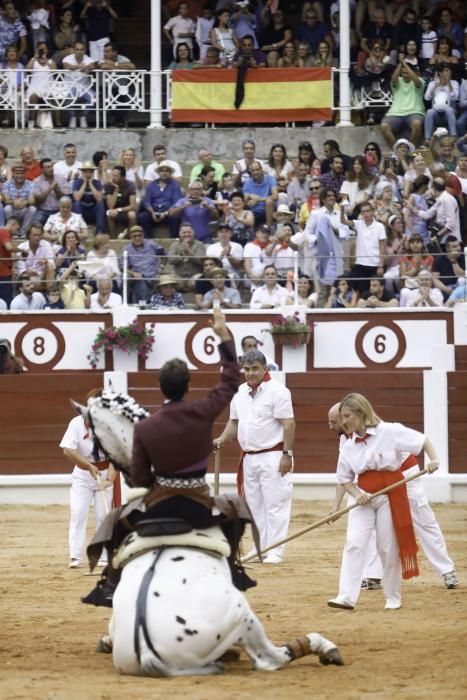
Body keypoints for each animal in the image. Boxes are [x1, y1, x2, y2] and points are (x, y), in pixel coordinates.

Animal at [73, 392, 344, 676]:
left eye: (93, 438)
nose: (120, 474)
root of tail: (147, 650)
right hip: (241, 614)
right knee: (269, 658)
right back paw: (322, 646)